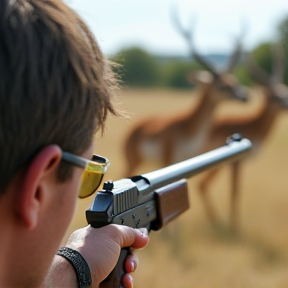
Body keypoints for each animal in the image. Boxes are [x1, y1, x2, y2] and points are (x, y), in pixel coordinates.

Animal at [122, 15, 249, 178]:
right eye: (221, 85)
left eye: (234, 80)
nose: (244, 96)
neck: (188, 127)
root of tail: (133, 129)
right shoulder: (168, 160)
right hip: (132, 161)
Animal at [197, 44, 288, 230]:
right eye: (275, 96)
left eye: (286, 92)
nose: (287, 105)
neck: (253, 125)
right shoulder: (236, 164)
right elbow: (235, 191)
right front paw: (234, 227)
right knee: (202, 185)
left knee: (202, 185)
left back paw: (216, 222)